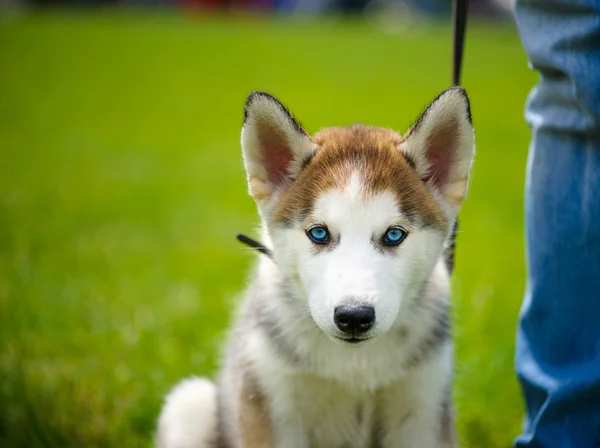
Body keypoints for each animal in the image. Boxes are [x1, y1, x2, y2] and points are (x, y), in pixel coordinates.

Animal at [157, 87, 476, 448]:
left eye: (394, 234)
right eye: (319, 233)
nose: (354, 317)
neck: (353, 367)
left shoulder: (422, 408)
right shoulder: (272, 405)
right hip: (189, 403)